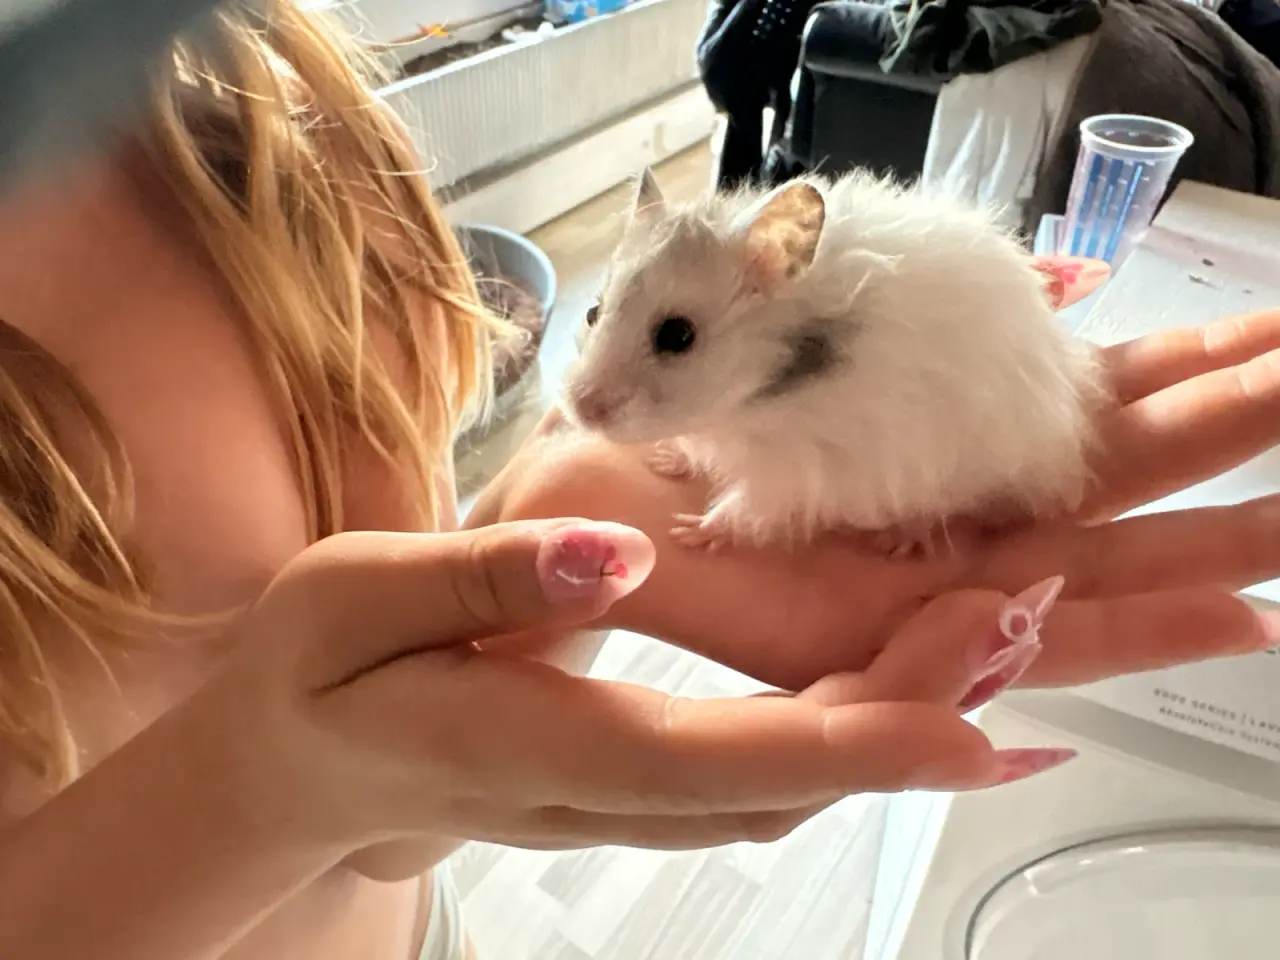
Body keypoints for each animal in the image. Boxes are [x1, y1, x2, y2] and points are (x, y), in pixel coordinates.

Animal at [560, 168, 1109, 555]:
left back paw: (900, 541)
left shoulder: (799, 473)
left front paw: (691, 532)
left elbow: (747, 506)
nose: (582, 410)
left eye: (678, 335)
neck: (753, 399)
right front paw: (665, 459)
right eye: (592, 312)